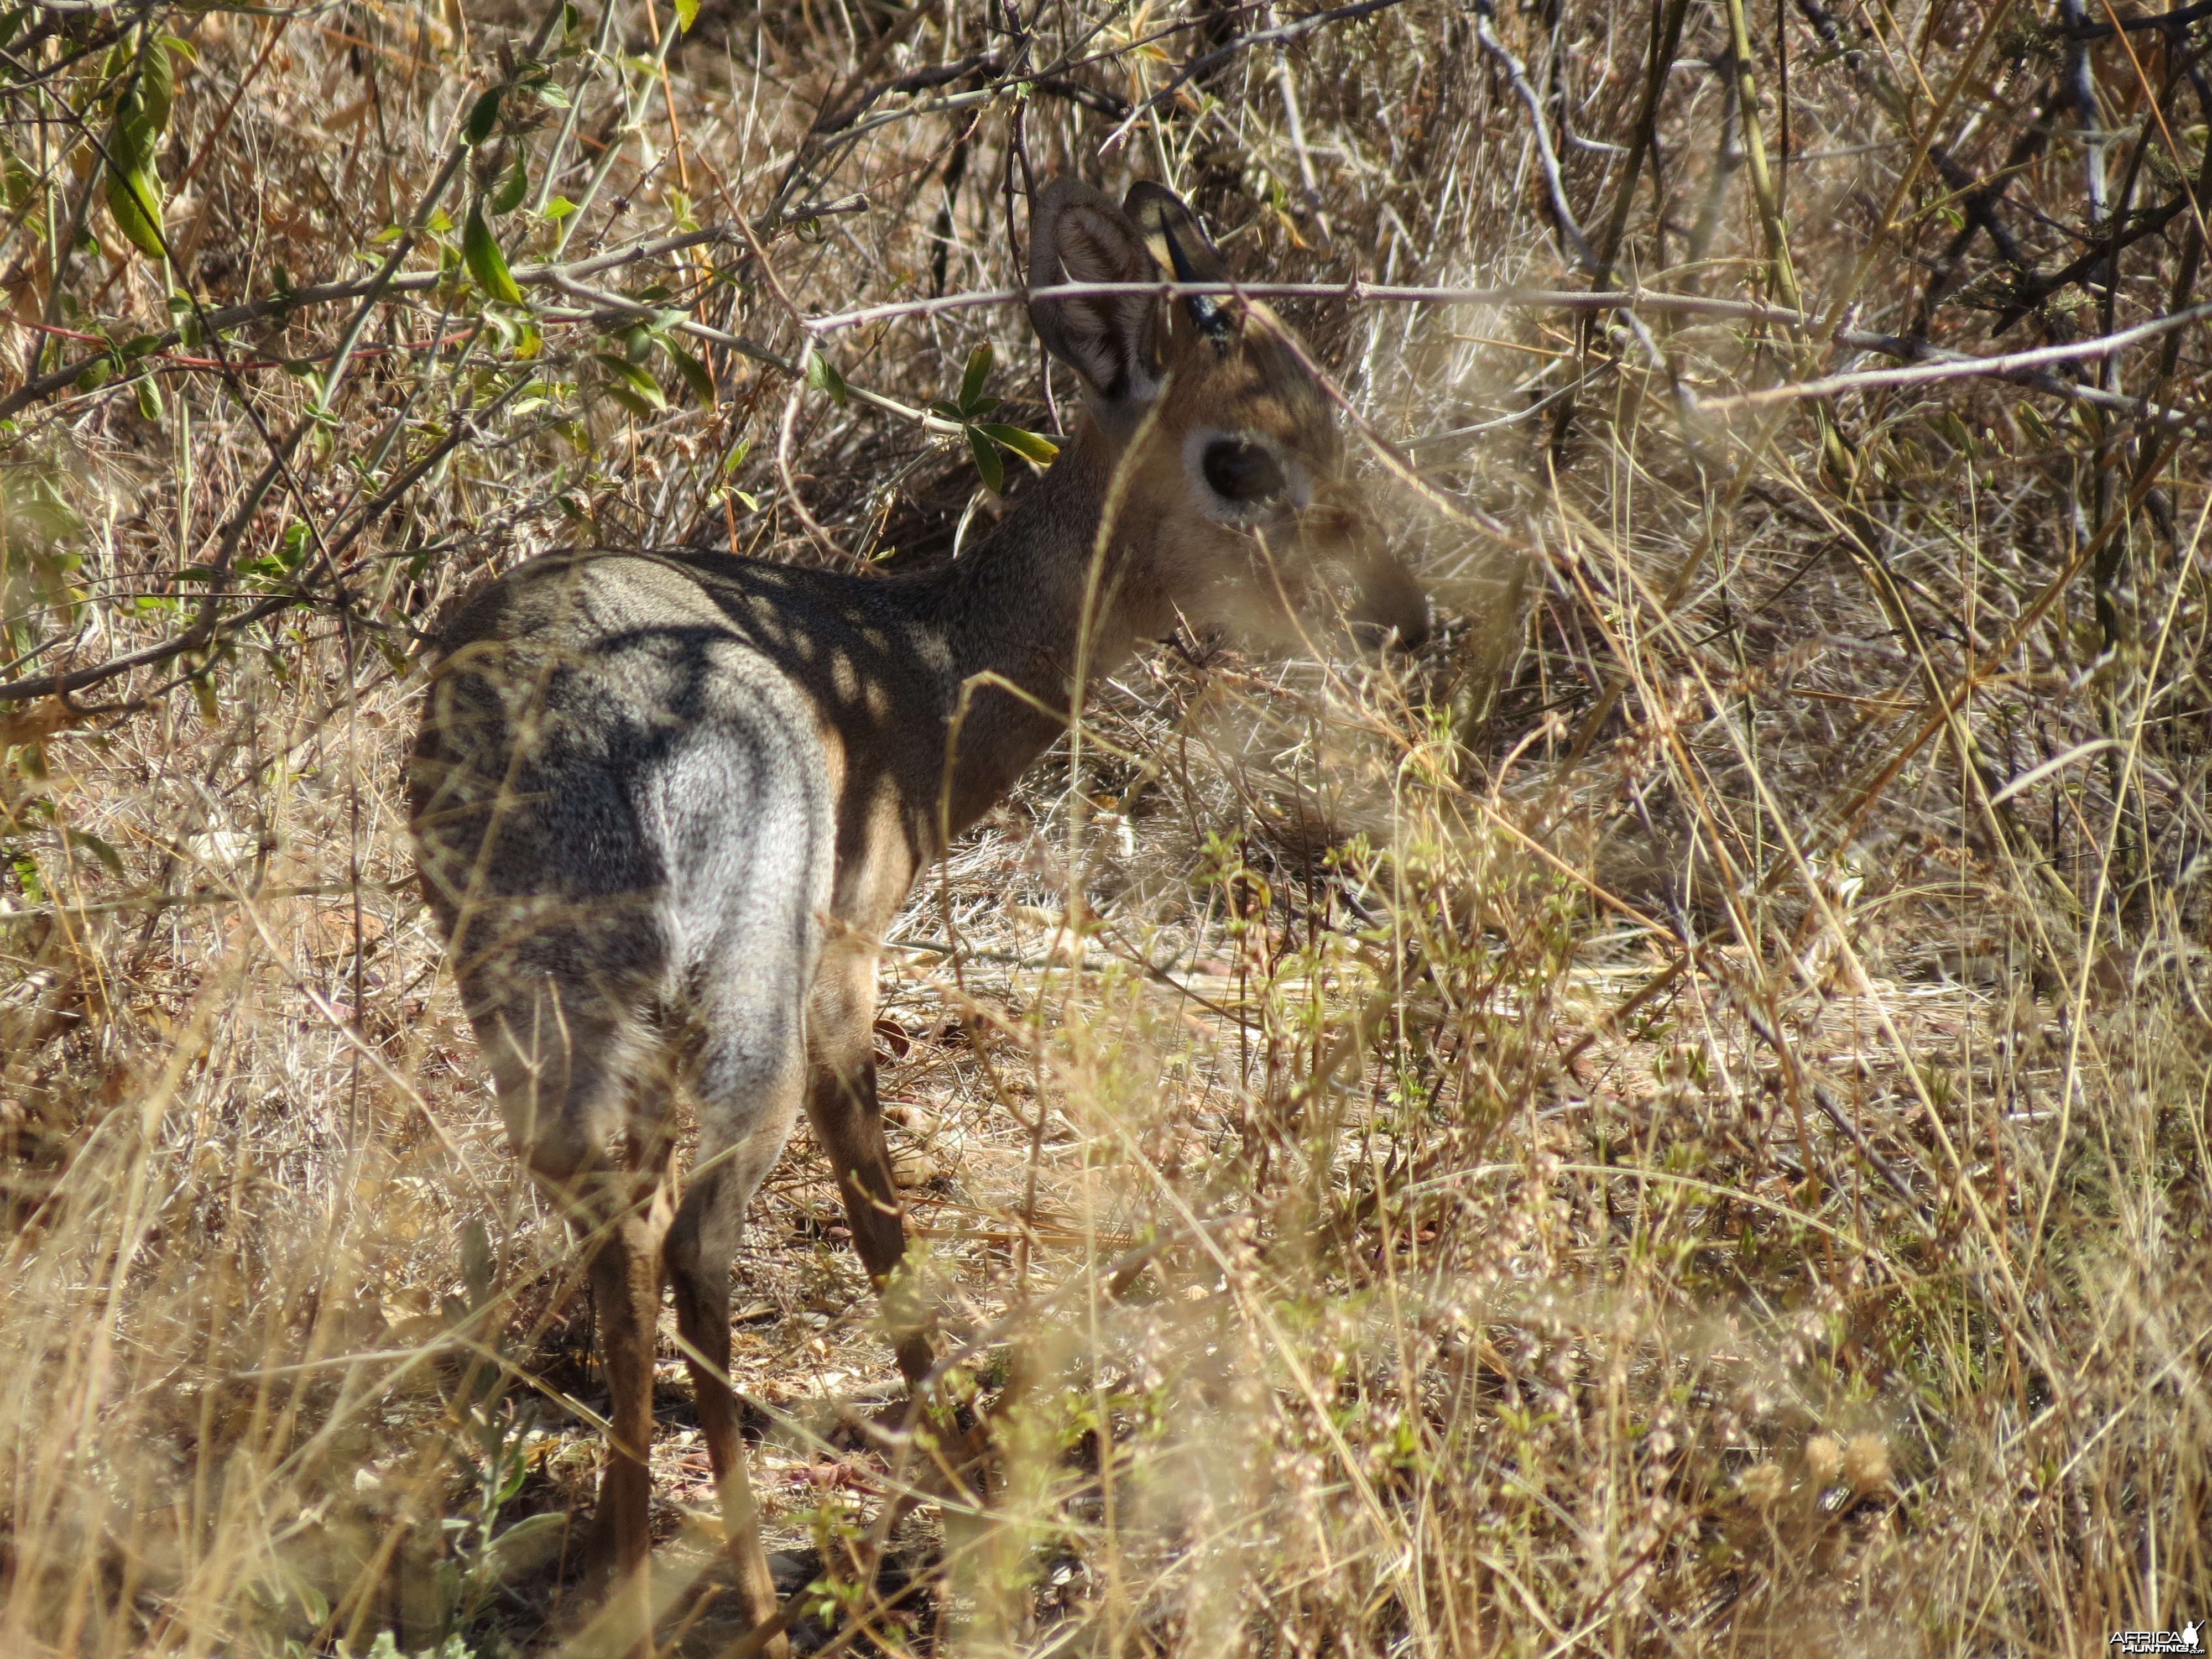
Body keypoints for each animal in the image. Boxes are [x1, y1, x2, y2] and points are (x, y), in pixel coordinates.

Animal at [407, 176, 1425, 1655]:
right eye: (1239, 456)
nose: (1400, 611)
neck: (925, 678)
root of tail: (589, 743)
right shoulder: (850, 968)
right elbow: (884, 1218)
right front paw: (966, 1458)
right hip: (744, 1006)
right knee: (702, 1238)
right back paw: (754, 1599)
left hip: (546, 1020)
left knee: (618, 1233)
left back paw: (618, 1566)